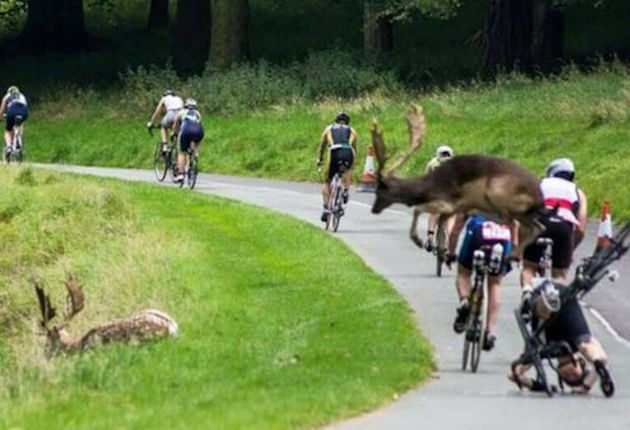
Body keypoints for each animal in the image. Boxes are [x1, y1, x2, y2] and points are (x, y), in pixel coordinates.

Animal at [372, 104, 544, 258]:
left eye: (379, 189)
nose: (374, 209)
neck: (427, 188)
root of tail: (539, 197)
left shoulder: (446, 202)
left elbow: (417, 209)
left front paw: (418, 240)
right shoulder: (451, 210)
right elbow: (440, 225)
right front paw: (442, 250)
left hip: (497, 194)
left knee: (511, 222)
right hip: (522, 212)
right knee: (537, 227)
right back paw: (513, 255)